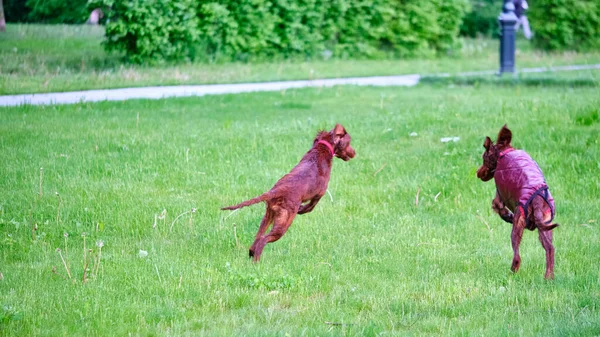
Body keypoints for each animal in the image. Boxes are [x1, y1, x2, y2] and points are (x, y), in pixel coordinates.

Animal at [224, 124, 356, 262]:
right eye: (349, 142)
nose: (354, 153)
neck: (322, 149)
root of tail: (277, 190)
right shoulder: (319, 193)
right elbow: (310, 207)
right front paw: (301, 209)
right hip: (284, 222)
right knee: (263, 240)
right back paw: (257, 261)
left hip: (268, 216)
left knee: (257, 238)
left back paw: (251, 255)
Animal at [476, 124, 560, 278]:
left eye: (483, 158)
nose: (478, 173)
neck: (504, 153)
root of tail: (536, 201)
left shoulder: (499, 197)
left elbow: (498, 208)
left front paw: (508, 216)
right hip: (546, 227)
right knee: (550, 249)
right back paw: (548, 277)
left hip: (518, 225)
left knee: (517, 257)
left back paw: (511, 273)